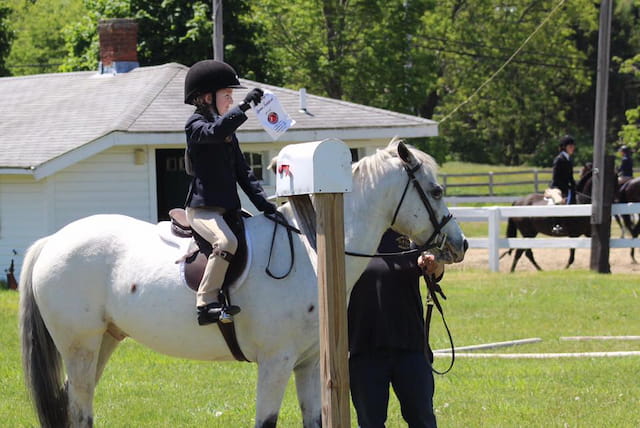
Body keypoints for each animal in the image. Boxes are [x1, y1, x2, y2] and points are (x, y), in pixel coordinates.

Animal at [19, 139, 467, 428]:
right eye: (436, 190)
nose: (459, 245)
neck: (311, 251)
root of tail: (51, 241)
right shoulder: (275, 362)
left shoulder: (308, 364)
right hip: (80, 346)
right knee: (80, 410)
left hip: (104, 342)